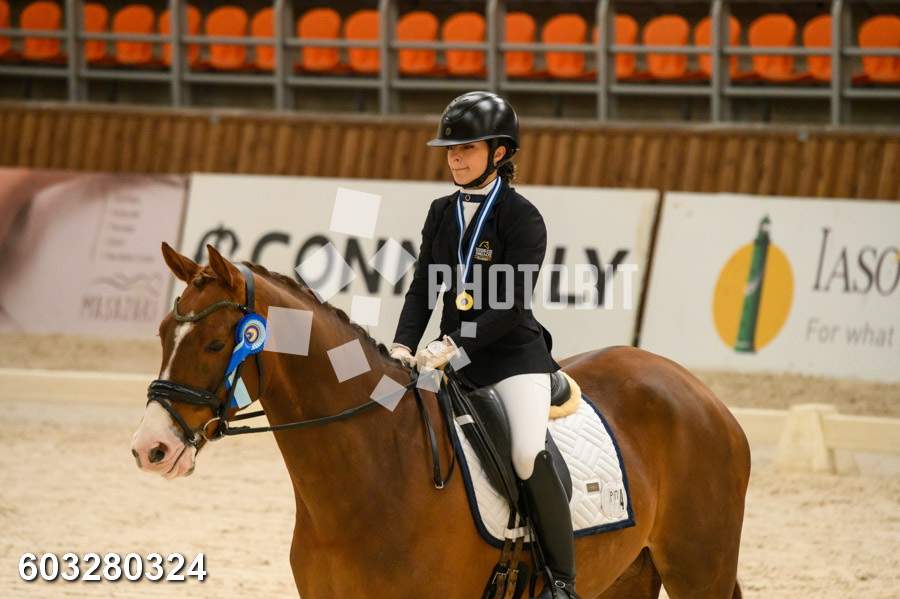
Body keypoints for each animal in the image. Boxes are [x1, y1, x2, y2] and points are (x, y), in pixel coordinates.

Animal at [131, 243, 751, 599]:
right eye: (162, 333)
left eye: (217, 344)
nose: (150, 449)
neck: (374, 475)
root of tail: (701, 393)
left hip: (701, 571)